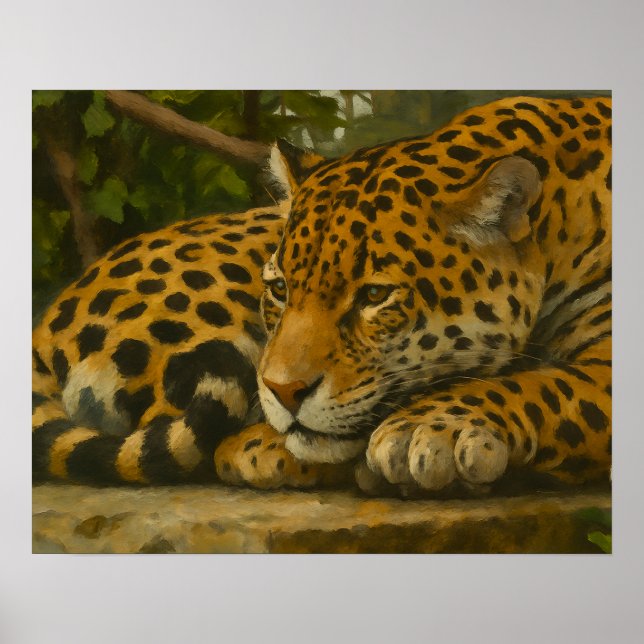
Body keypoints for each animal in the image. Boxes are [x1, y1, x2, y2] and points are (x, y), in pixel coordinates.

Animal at [33, 96, 611, 495]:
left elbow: (540, 386)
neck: (560, 222)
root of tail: (45, 324)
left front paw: (425, 430)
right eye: (279, 288)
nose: (284, 391)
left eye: (375, 295)